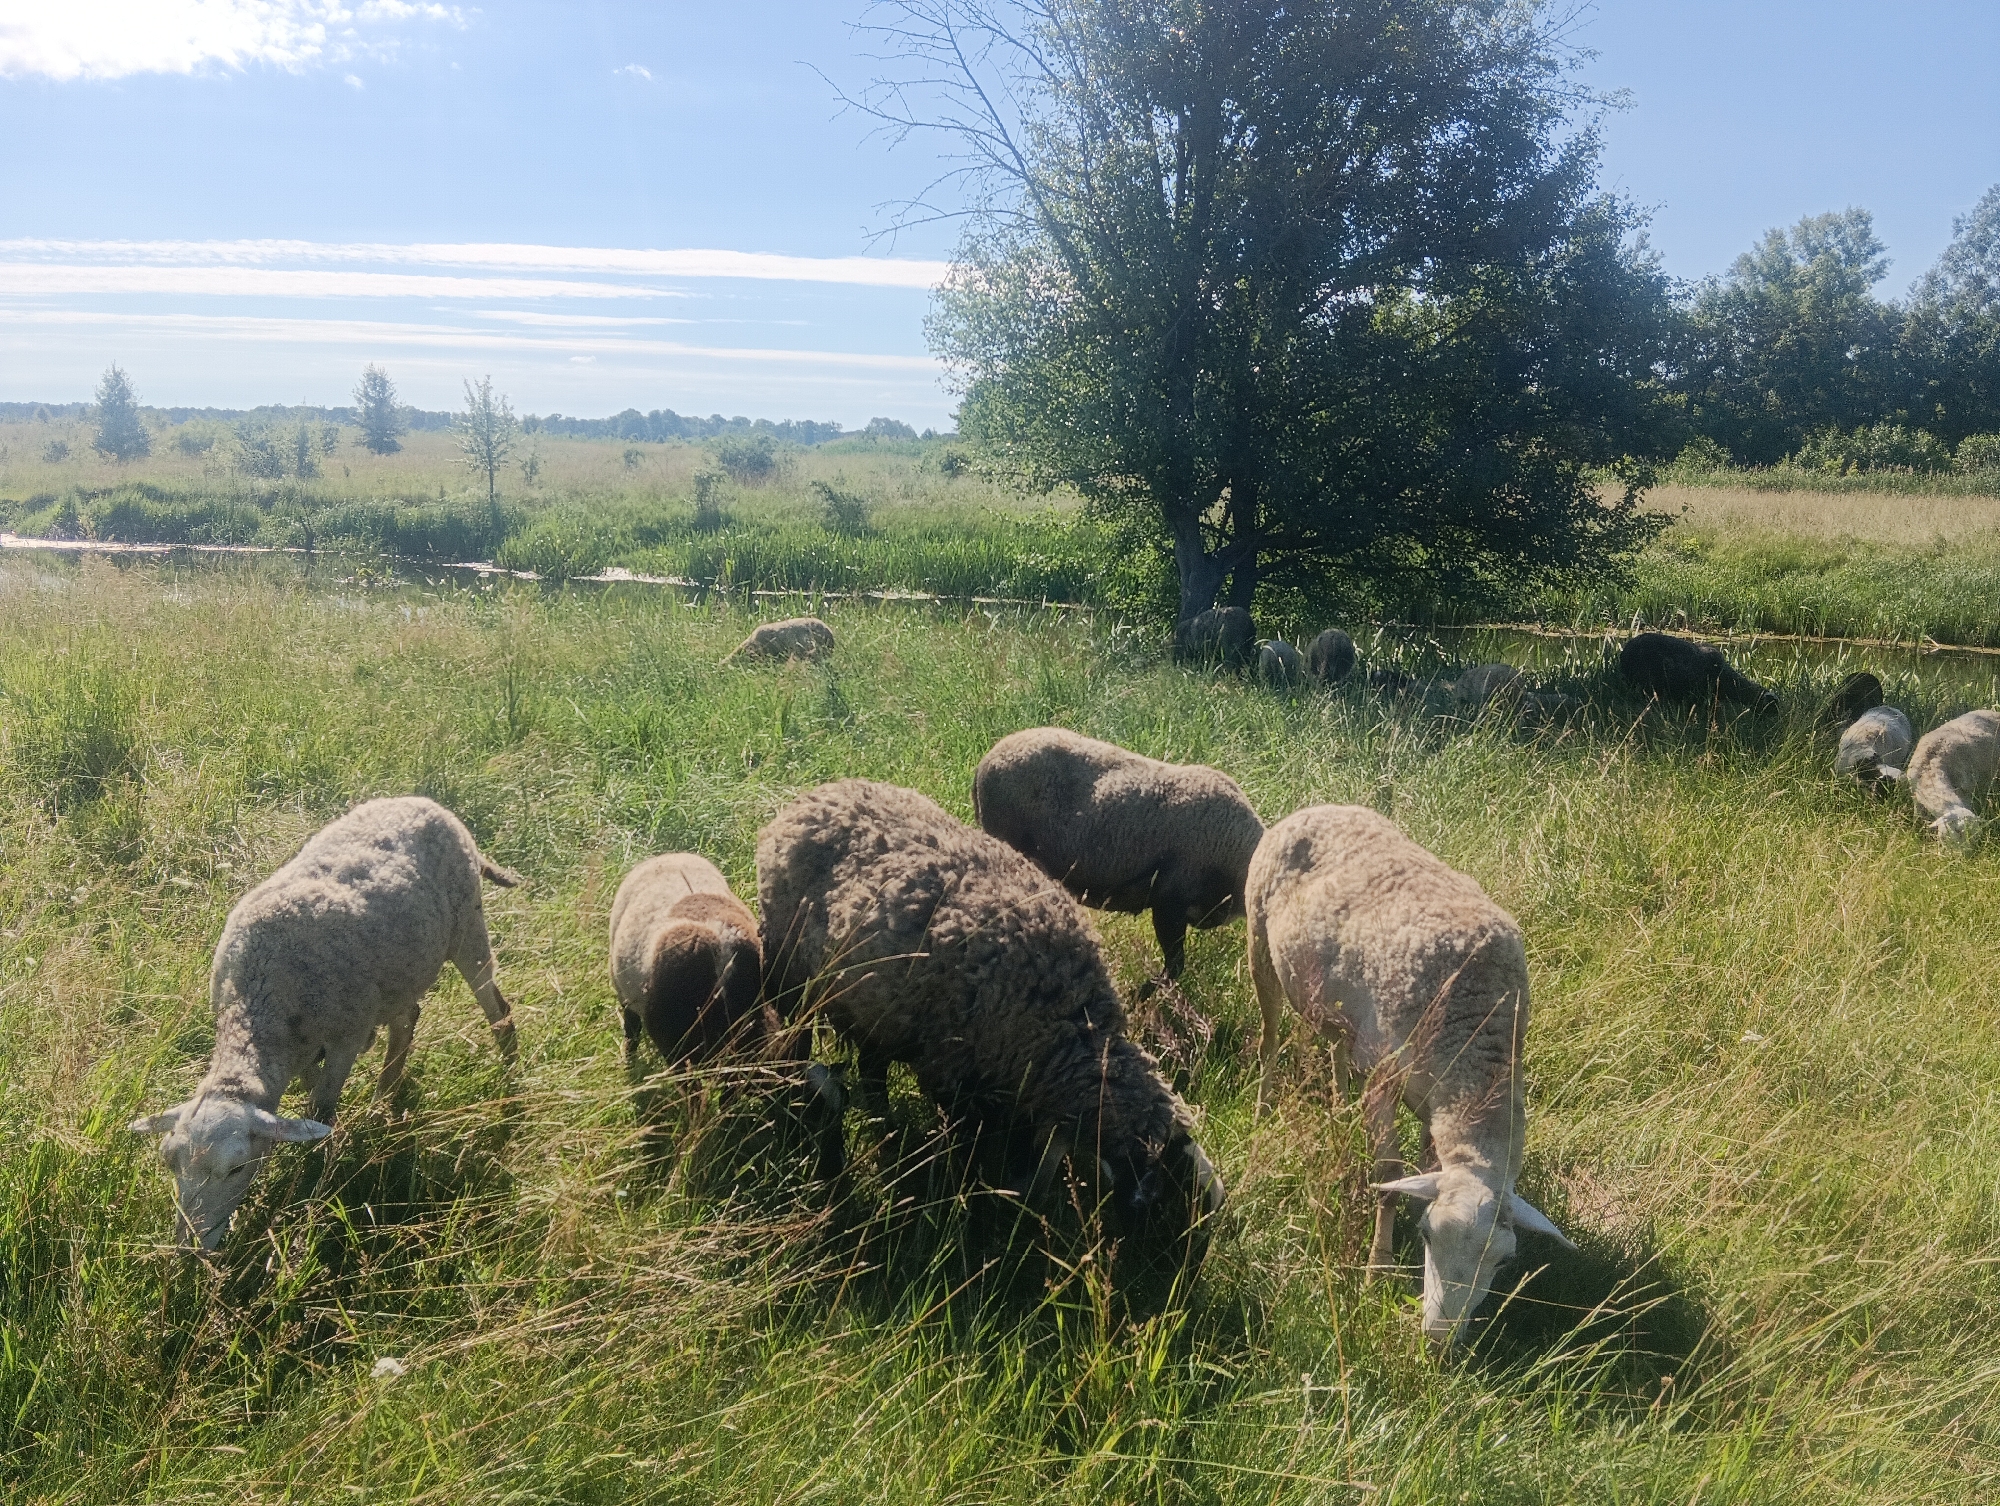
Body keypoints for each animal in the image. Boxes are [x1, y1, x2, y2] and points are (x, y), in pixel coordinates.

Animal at [130, 797, 519, 1250]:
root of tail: (424, 802)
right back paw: (383, 1099)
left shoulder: (345, 1038)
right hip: (395, 977)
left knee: (498, 1010)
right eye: (169, 1161)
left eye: (237, 1168)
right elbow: (311, 1094)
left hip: (467, 926)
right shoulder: (303, 1049)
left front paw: (315, 1175)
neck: (259, 1006)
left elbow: (322, 1108)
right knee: (407, 1020)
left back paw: (510, 1083)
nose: (189, 1248)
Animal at [757, 779, 1224, 1261]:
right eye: (1168, 1203)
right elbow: (973, 1160)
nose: (1179, 1270)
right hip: (788, 969)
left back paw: (884, 1123)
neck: (1064, 1031)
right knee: (803, 1037)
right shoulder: (956, 1079)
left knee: (872, 1067)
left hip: (880, 1011)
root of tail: (818, 794)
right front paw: (979, 1218)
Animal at [1246, 804, 1571, 1346]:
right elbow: (1389, 1175)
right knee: (1270, 1039)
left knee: (1335, 1048)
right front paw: (1377, 1268)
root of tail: (1318, 806)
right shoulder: (1384, 1074)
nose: (1439, 1342)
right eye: (1425, 1237)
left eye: (1504, 1263)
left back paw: (1339, 1106)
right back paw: (1263, 1107)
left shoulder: (1432, 1095)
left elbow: (1423, 1168)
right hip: (1260, 948)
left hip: (1338, 1008)